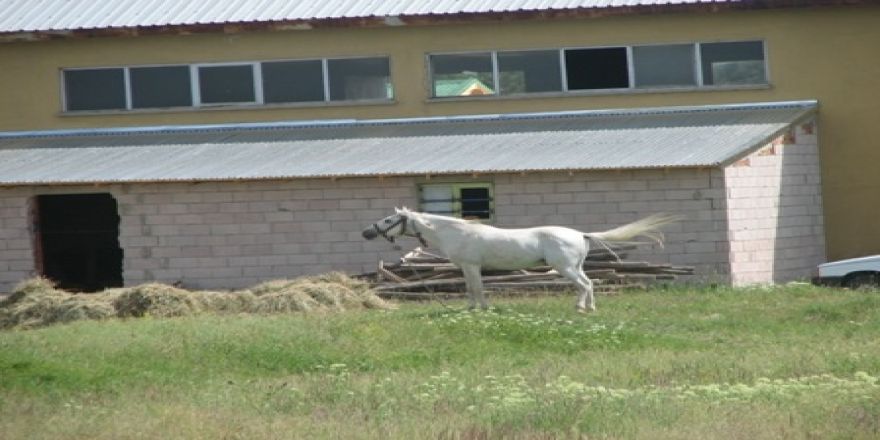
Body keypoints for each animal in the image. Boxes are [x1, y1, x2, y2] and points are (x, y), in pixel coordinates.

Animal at [360, 208, 676, 312]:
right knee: (589, 283)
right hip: (574, 267)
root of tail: (580, 234)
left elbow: (476, 288)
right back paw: (590, 308)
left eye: (388, 219)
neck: (456, 232)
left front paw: (481, 309)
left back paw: (580, 309)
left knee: (584, 285)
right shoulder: (466, 268)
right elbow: (470, 289)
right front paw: (471, 308)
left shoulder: (472, 266)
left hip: (564, 268)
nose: (366, 232)